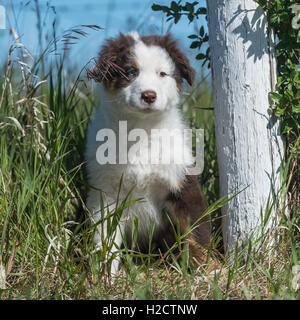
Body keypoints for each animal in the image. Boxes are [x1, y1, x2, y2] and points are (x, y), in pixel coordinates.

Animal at [84, 33, 211, 278]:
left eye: (162, 74)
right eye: (131, 72)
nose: (149, 95)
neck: (141, 130)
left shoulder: (182, 183)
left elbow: (196, 233)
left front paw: (208, 271)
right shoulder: (106, 193)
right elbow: (105, 238)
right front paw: (104, 277)